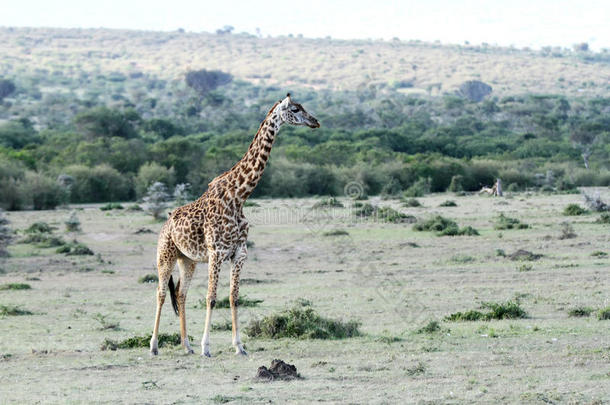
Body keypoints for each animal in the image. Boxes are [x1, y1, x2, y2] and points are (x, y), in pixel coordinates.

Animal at [149, 93, 318, 356]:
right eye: (295, 109)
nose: (315, 121)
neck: (239, 196)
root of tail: (166, 223)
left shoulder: (239, 253)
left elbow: (233, 297)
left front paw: (239, 346)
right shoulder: (216, 252)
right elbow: (211, 297)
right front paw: (206, 347)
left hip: (187, 260)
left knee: (181, 293)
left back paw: (186, 345)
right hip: (165, 254)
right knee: (161, 293)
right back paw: (154, 346)